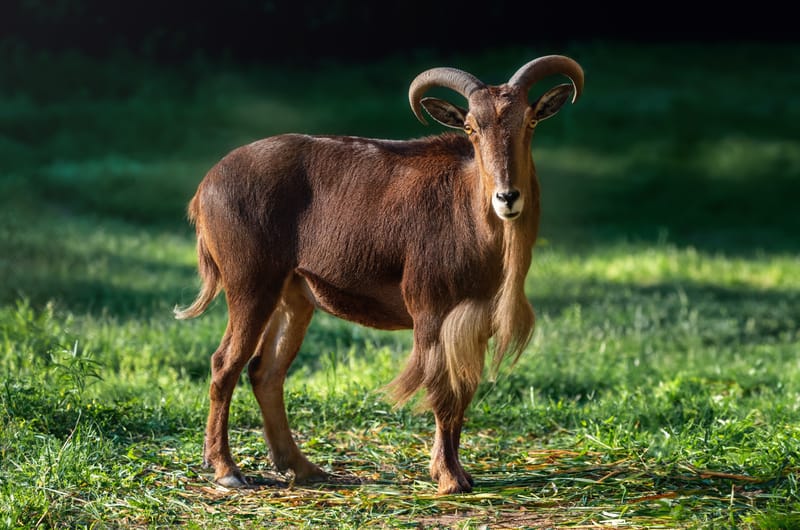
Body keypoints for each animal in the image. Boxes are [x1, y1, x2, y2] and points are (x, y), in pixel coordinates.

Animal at [176, 55, 584, 494]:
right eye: (472, 127)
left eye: (530, 121)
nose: (507, 197)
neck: (472, 216)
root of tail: (205, 188)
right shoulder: (430, 311)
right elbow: (442, 393)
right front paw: (448, 478)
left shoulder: (476, 321)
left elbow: (462, 393)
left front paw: (459, 472)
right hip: (251, 286)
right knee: (225, 364)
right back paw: (226, 469)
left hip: (294, 298)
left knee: (265, 372)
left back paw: (303, 468)